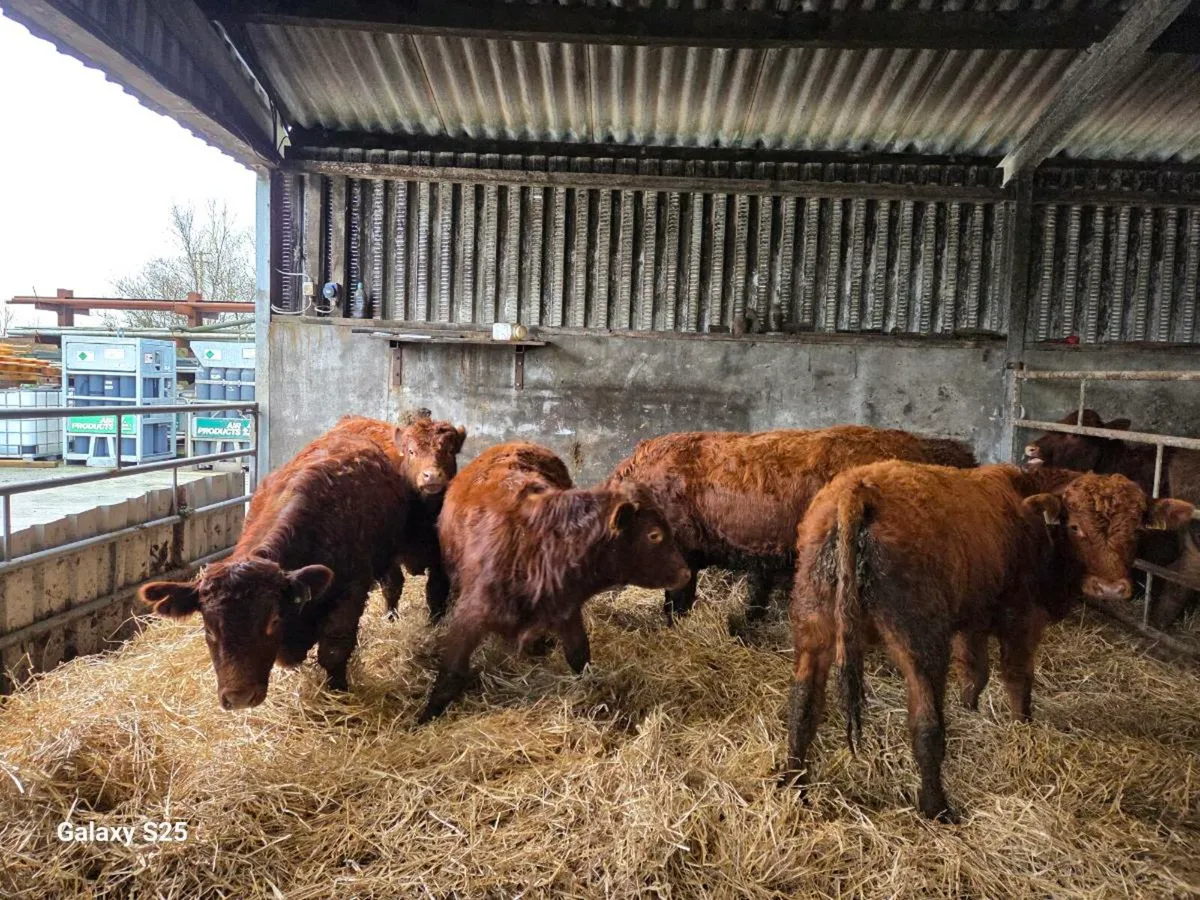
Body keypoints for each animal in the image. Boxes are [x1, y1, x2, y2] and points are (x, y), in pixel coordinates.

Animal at [139, 431, 414, 709]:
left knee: (393, 584)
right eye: (209, 629)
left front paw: (338, 692)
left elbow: (334, 651)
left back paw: (391, 617)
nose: (240, 698)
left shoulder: (351, 593)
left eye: (272, 620)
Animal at [329, 412, 466, 622]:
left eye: (450, 451)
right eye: (411, 452)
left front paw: (434, 622)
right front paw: (390, 616)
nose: (432, 476)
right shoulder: (390, 554)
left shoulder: (440, 556)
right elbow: (392, 585)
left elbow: (436, 590)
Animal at [420, 441, 691, 723]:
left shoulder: (565, 609)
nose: (686, 574)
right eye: (654, 535)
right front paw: (426, 716)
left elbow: (579, 655)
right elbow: (452, 671)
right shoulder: (471, 614)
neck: (536, 548)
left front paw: (595, 691)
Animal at [781, 460, 1194, 822]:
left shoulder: (972, 620)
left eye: (1138, 529)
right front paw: (1022, 729)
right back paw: (937, 808)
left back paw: (793, 785)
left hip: (814, 630)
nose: (1110, 588)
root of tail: (858, 488)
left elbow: (974, 671)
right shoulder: (1022, 619)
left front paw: (971, 709)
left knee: (803, 709)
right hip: (920, 641)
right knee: (926, 725)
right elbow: (1017, 677)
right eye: (1075, 526)